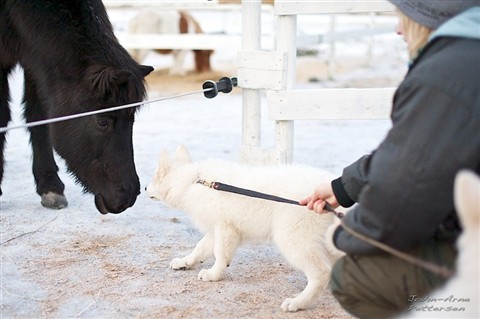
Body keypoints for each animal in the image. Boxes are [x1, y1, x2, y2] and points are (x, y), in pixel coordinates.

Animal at [0, 1, 153, 215]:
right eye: (102, 121)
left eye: (132, 118)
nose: (128, 196)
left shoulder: (36, 65)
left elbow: (38, 117)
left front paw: (50, 186)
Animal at [146, 146, 344, 312]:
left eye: (153, 178)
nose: (145, 188)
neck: (192, 182)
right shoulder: (216, 229)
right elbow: (200, 249)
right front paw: (184, 262)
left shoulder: (225, 228)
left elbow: (220, 254)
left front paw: (213, 274)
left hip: (292, 239)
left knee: (321, 273)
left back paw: (298, 302)